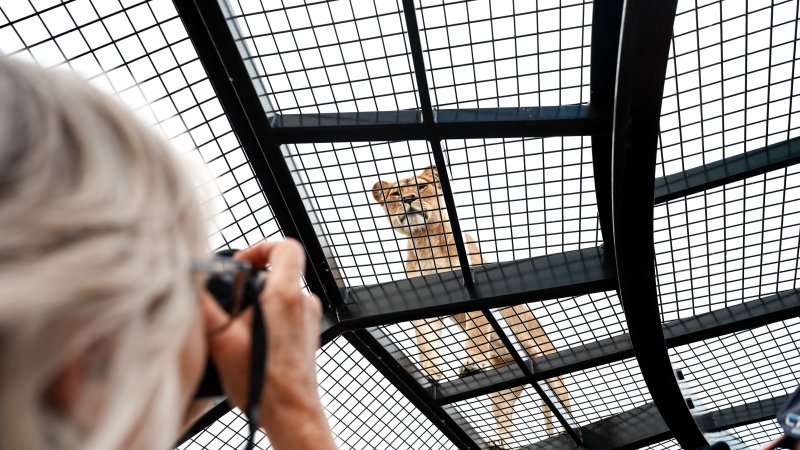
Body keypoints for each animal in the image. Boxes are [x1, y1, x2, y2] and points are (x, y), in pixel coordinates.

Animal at [371, 166, 570, 447]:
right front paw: (430, 373)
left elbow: (477, 332)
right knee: (504, 414)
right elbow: (426, 342)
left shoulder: (474, 286)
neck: (426, 241)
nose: (409, 198)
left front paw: (472, 365)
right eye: (395, 193)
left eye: (421, 187)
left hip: (550, 372)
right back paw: (499, 443)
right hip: (504, 388)